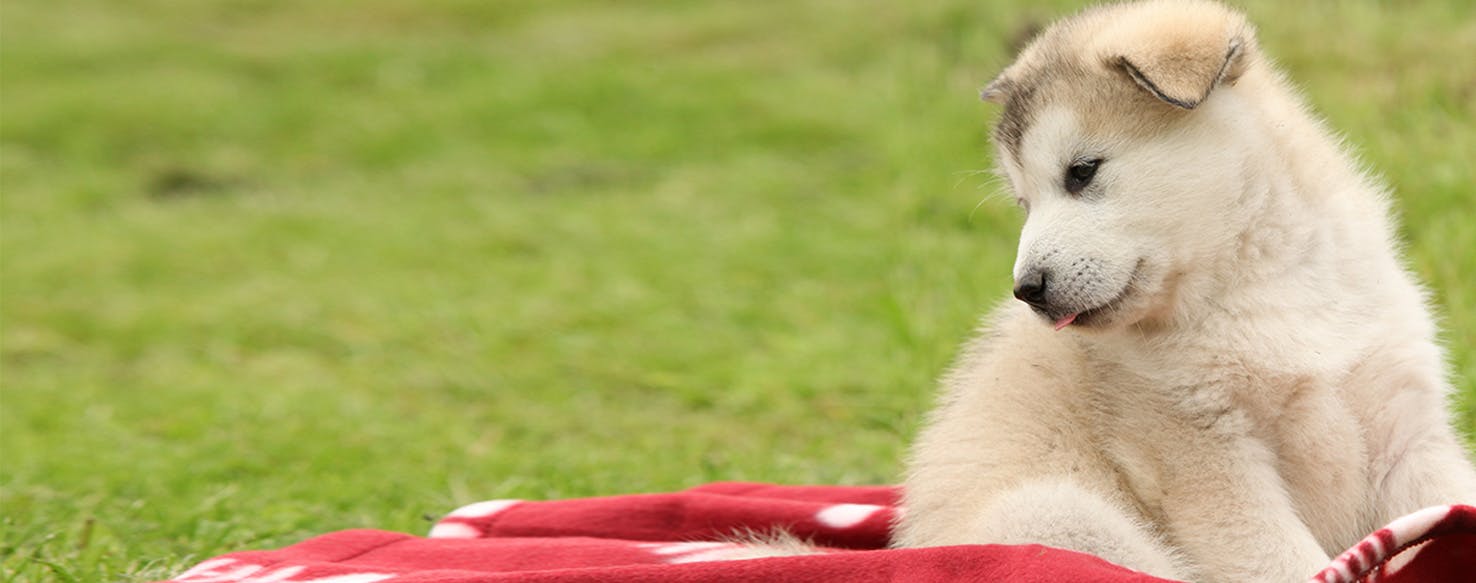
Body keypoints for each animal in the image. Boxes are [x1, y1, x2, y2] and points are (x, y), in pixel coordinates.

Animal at [891, 0, 1476, 581]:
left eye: (1081, 171)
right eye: (1023, 203)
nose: (1026, 288)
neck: (1261, 282)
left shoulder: (1408, 434)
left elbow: (1452, 501)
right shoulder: (1208, 457)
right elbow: (1289, 563)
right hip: (1052, 512)